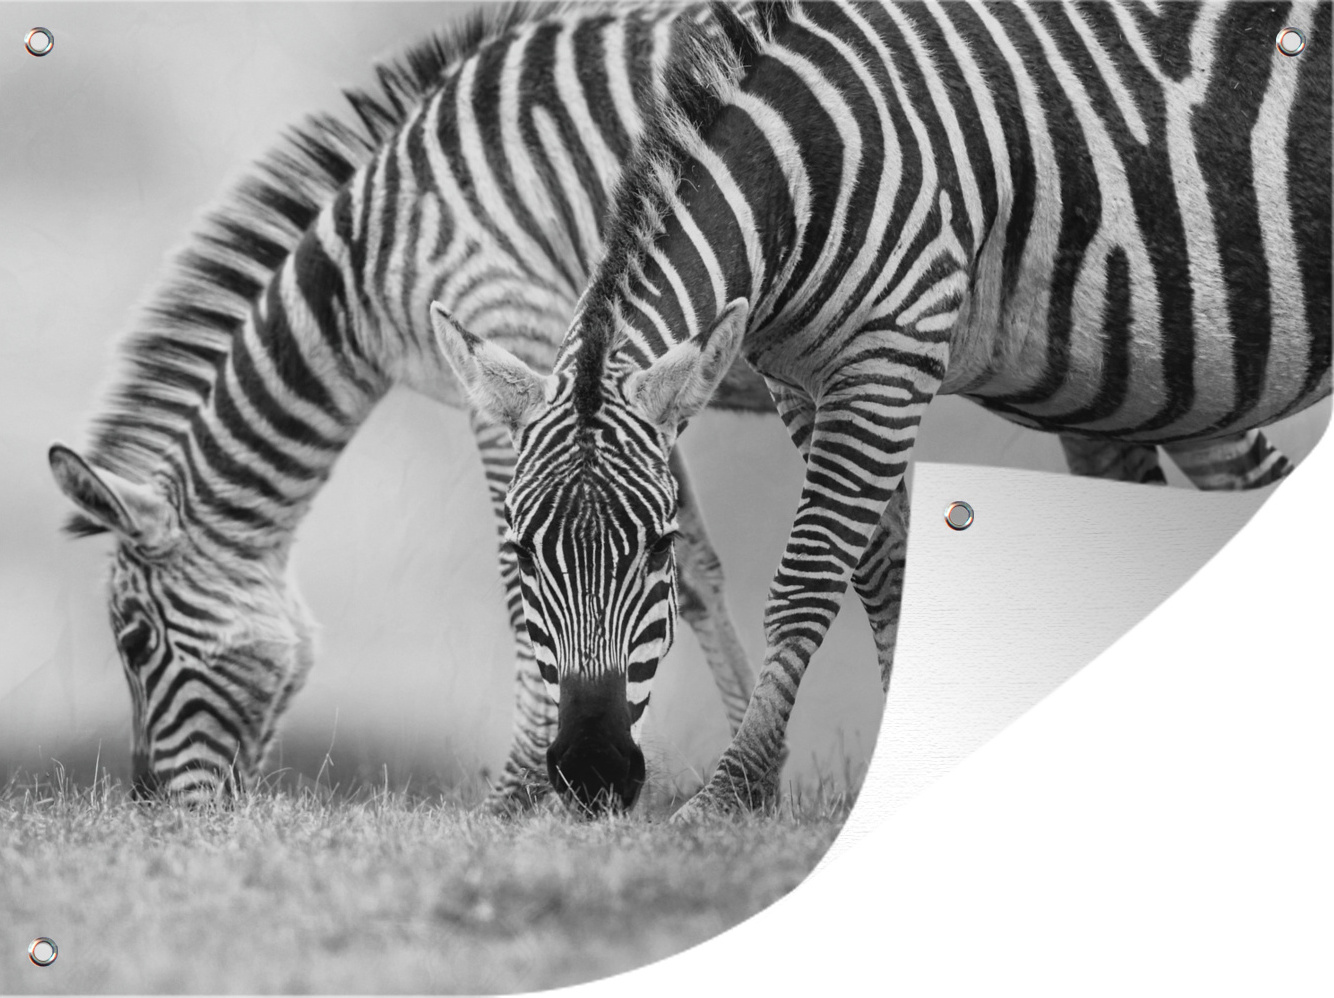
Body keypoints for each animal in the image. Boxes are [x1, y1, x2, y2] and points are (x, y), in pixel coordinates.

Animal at [434, 0, 1331, 816]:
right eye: (520, 553)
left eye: (659, 547)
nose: (591, 774)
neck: (804, 168)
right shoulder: (803, 381)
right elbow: (884, 574)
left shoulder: (890, 353)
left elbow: (809, 576)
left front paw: (732, 794)